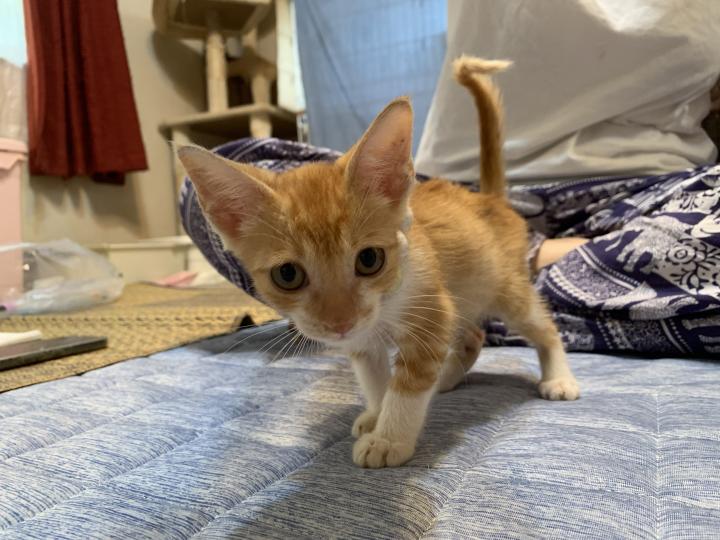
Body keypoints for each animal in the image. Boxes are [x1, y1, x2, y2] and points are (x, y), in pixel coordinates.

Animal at [177, 55, 580, 469]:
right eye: (287, 274)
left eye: (369, 259)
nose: (340, 323)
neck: (388, 301)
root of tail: (489, 200)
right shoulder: (368, 337)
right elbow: (372, 374)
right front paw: (376, 411)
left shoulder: (431, 312)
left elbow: (410, 381)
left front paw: (389, 437)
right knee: (473, 334)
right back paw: (447, 377)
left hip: (506, 288)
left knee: (543, 326)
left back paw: (558, 378)